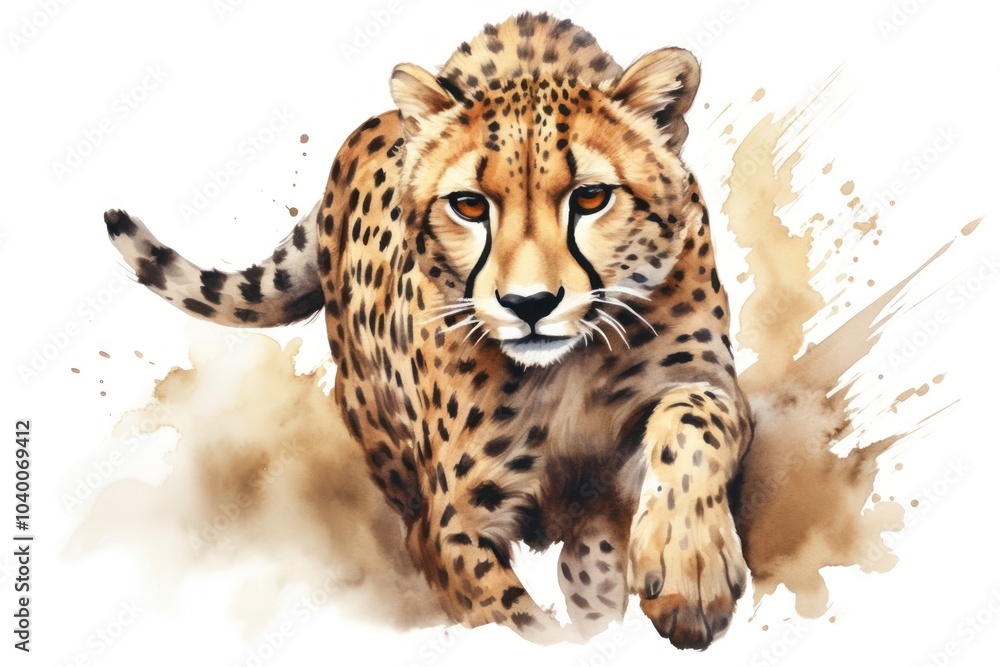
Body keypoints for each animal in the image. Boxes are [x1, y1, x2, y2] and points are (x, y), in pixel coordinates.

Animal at [103, 12, 754, 649]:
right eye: (468, 205)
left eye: (591, 197)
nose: (530, 303)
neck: (568, 372)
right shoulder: (454, 526)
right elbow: (519, 624)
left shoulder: (696, 391)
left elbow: (695, 414)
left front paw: (689, 567)